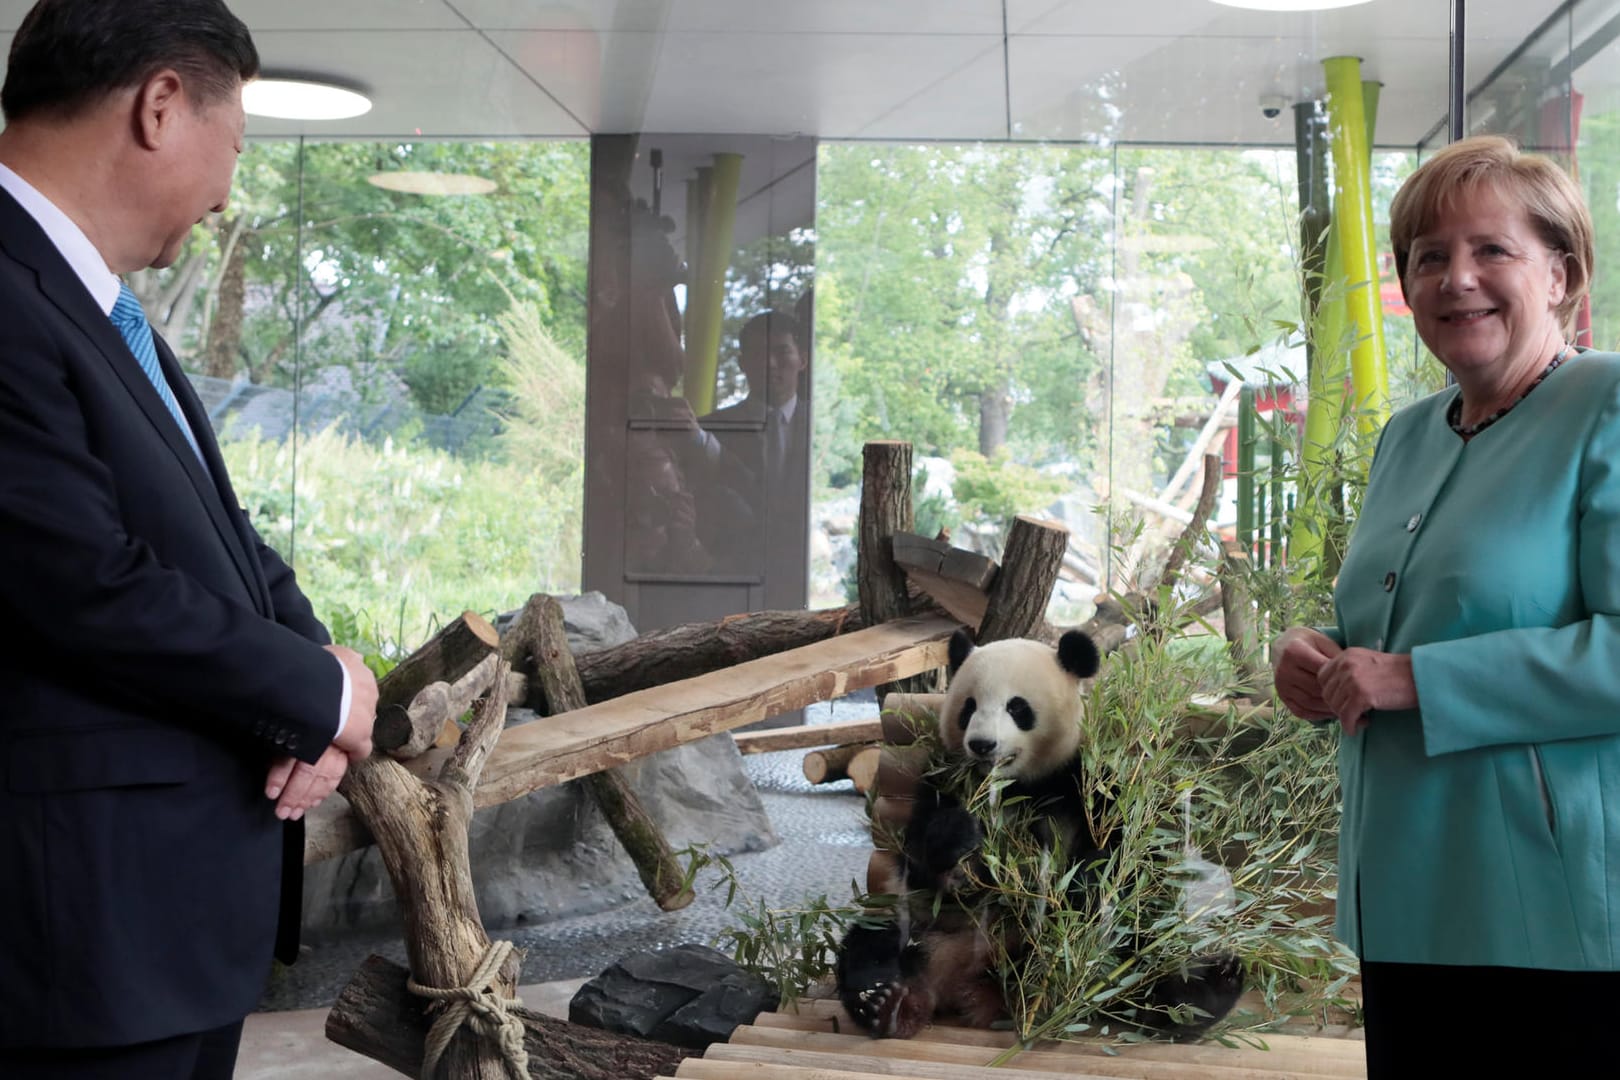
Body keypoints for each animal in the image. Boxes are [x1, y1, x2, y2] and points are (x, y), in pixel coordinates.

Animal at [835, 628, 1237, 1042]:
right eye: (968, 707)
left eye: (1017, 707)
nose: (982, 745)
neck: (1014, 784)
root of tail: (967, 981)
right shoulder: (942, 780)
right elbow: (921, 862)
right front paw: (959, 843)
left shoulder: (1089, 782)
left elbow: (1118, 858)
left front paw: (1076, 891)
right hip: (923, 927)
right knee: (871, 945)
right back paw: (887, 1005)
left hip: (1115, 952)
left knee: (1141, 961)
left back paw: (1204, 992)